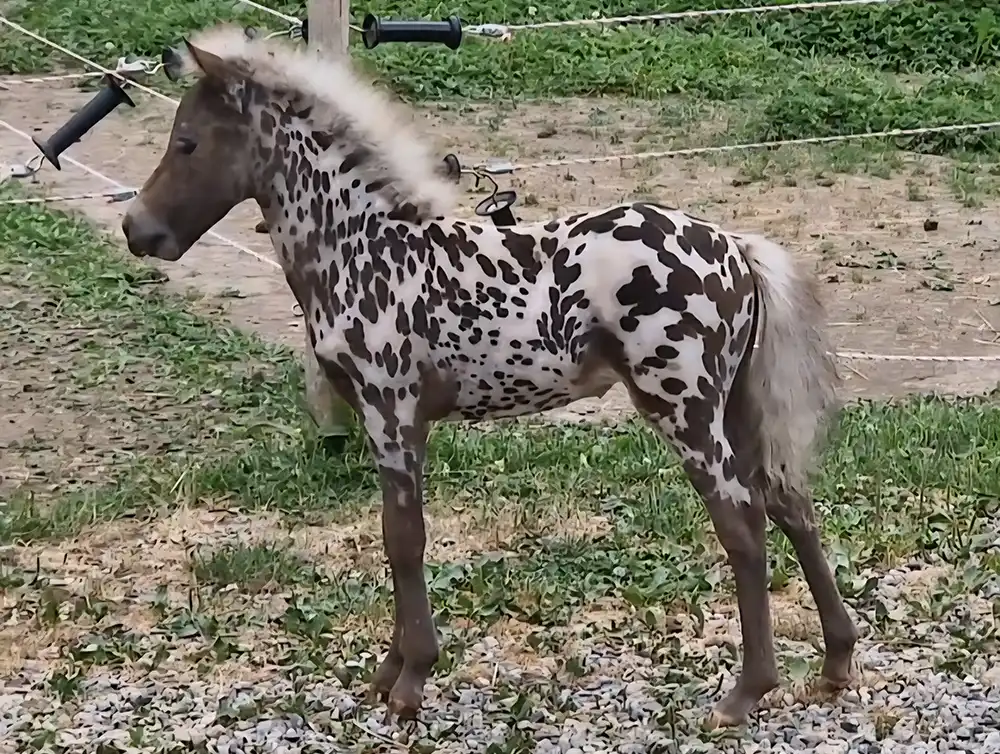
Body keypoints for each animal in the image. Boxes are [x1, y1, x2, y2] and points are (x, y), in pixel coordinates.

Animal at [121, 24, 858, 730]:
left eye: (187, 143)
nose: (137, 230)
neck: (364, 250)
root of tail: (734, 248)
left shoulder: (391, 412)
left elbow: (404, 539)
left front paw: (409, 684)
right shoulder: (391, 421)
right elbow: (397, 537)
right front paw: (389, 674)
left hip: (683, 409)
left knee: (743, 523)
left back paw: (745, 694)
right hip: (733, 406)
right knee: (790, 503)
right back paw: (836, 662)